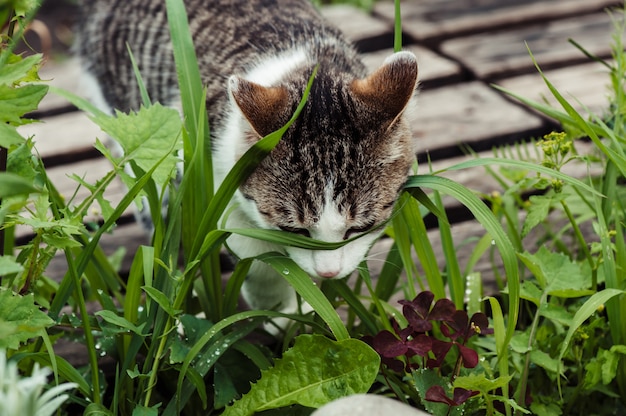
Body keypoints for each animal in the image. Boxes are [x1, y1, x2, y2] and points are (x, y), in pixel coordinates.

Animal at [78, 0, 420, 318]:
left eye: (362, 226)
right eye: (293, 230)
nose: (328, 271)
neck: (309, 67)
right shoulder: (217, 180)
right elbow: (258, 261)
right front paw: (279, 311)